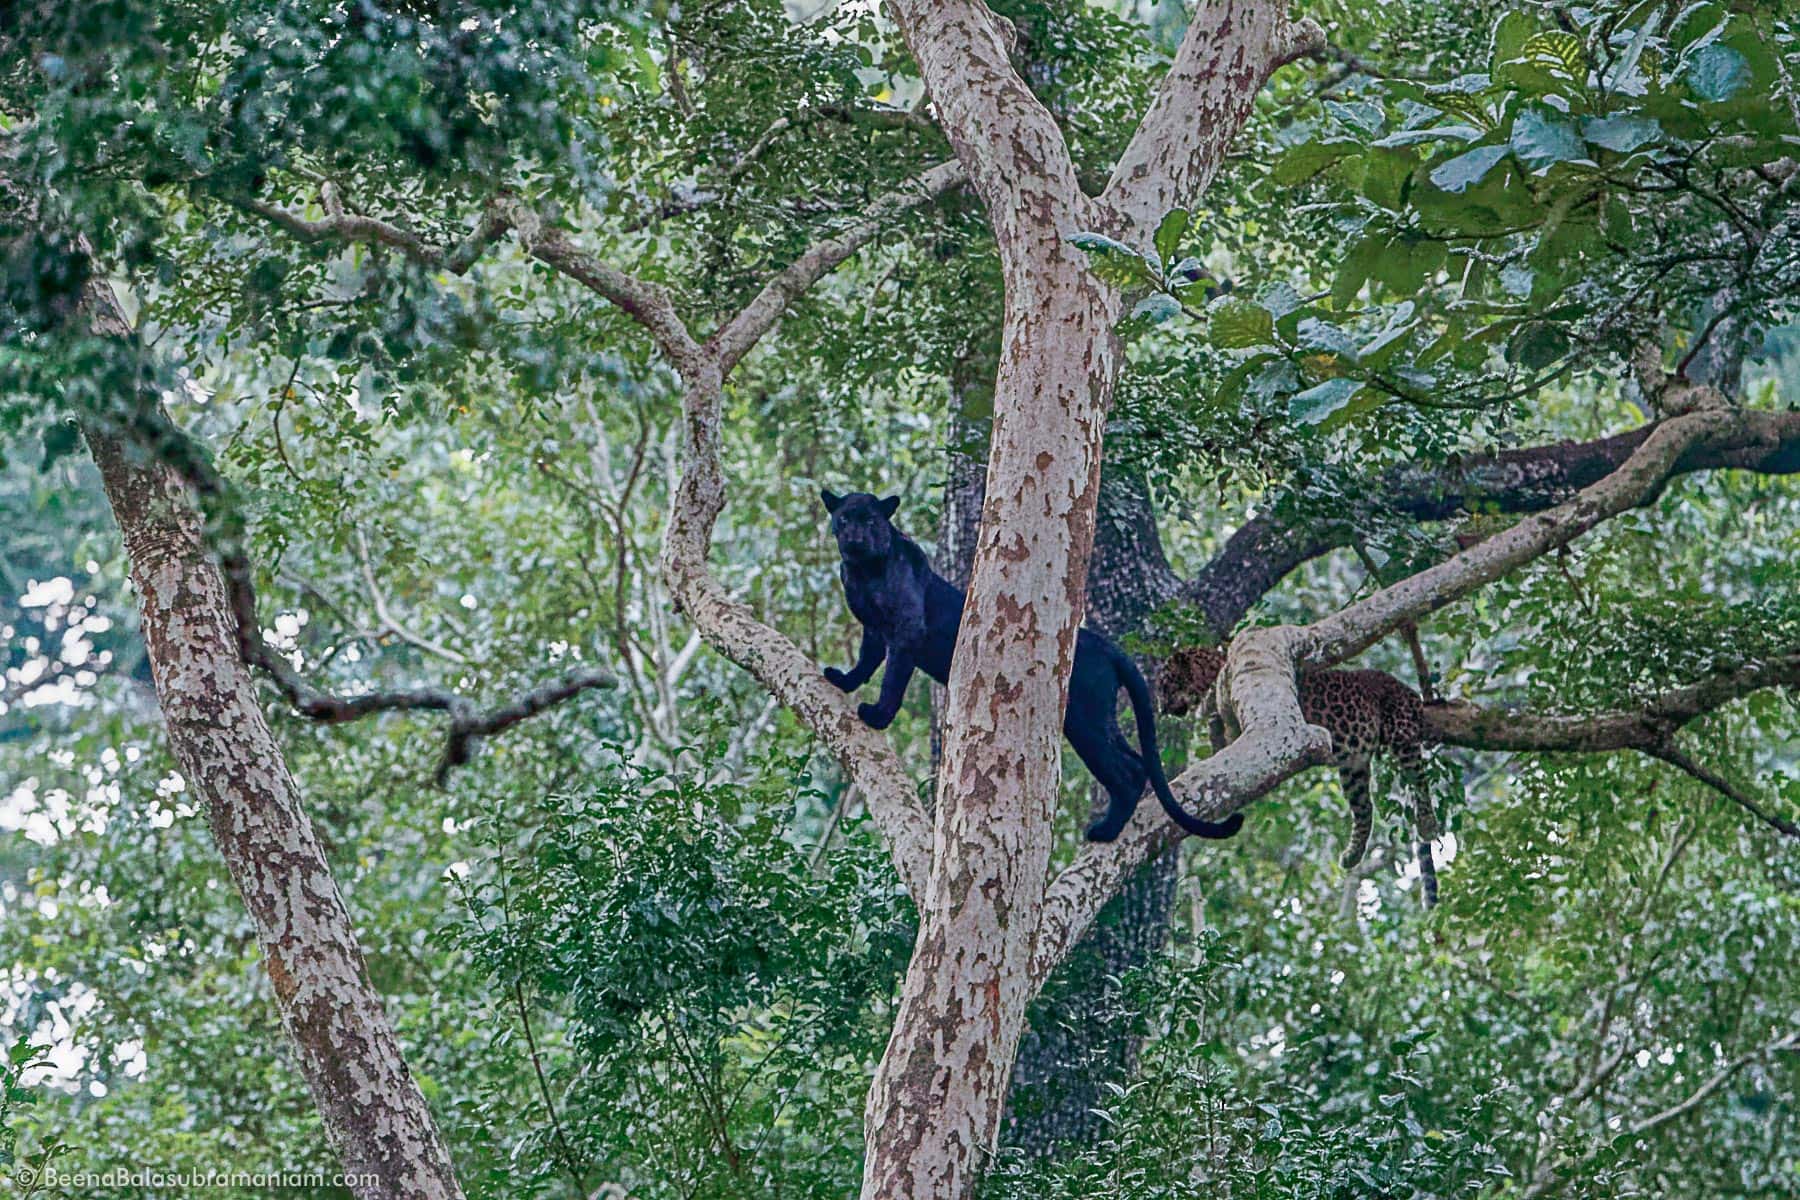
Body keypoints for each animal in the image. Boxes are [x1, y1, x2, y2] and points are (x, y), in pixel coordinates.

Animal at [1159, 647, 1440, 899]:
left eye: (1165, 684)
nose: (1161, 709)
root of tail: (1409, 690)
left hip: (1401, 733)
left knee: (1419, 781)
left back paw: (1428, 822)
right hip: (1354, 767)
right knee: (1364, 808)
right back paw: (1352, 855)